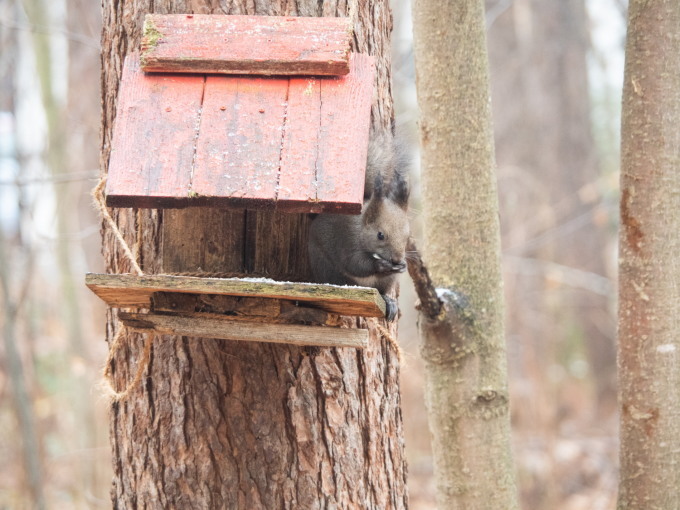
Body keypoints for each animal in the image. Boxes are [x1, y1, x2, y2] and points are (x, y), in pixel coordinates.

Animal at [308, 129, 410, 320]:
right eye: (380, 235)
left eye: (407, 238)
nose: (397, 259)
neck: (362, 228)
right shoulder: (347, 241)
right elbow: (355, 264)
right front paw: (382, 265)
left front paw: (403, 266)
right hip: (325, 266)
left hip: (387, 281)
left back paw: (390, 302)